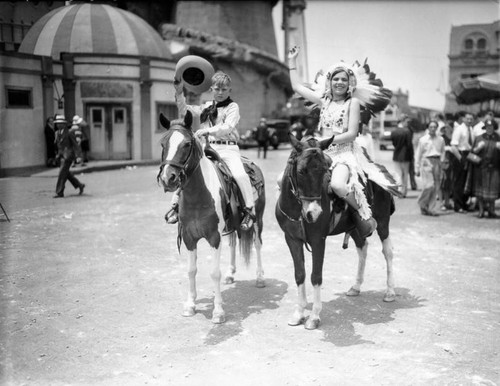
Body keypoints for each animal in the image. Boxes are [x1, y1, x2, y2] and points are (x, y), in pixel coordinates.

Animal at [157, 111, 266, 322]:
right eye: (162, 143)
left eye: (187, 144)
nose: (168, 179)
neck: (198, 195)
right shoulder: (189, 237)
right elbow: (191, 270)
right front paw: (190, 306)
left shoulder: (214, 237)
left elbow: (215, 273)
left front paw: (218, 312)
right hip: (232, 224)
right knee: (233, 243)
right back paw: (231, 274)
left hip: (258, 221)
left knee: (257, 245)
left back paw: (260, 278)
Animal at [276, 134, 396, 330]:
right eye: (301, 171)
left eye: (326, 170)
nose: (314, 213)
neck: (298, 210)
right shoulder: (292, 239)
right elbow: (300, 274)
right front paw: (299, 313)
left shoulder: (318, 240)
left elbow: (316, 276)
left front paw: (314, 316)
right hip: (354, 228)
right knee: (362, 248)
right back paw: (356, 287)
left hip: (383, 222)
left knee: (387, 252)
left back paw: (390, 291)